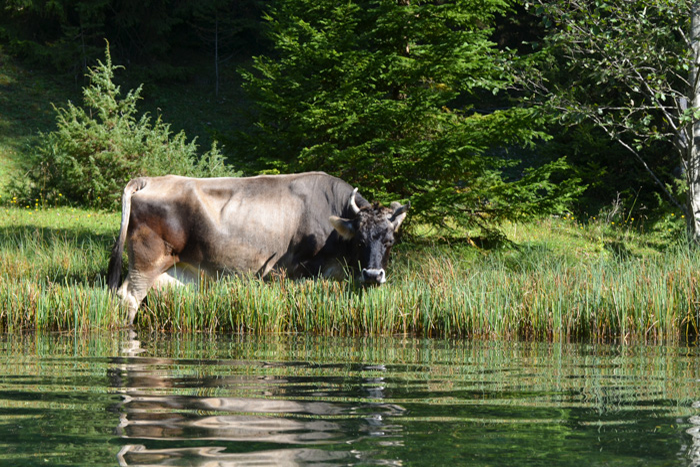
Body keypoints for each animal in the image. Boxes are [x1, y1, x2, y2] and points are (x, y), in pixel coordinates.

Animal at [108, 172, 410, 326]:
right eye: (359, 241)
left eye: (390, 241)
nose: (373, 275)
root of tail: (150, 179)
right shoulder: (299, 273)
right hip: (146, 262)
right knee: (129, 298)